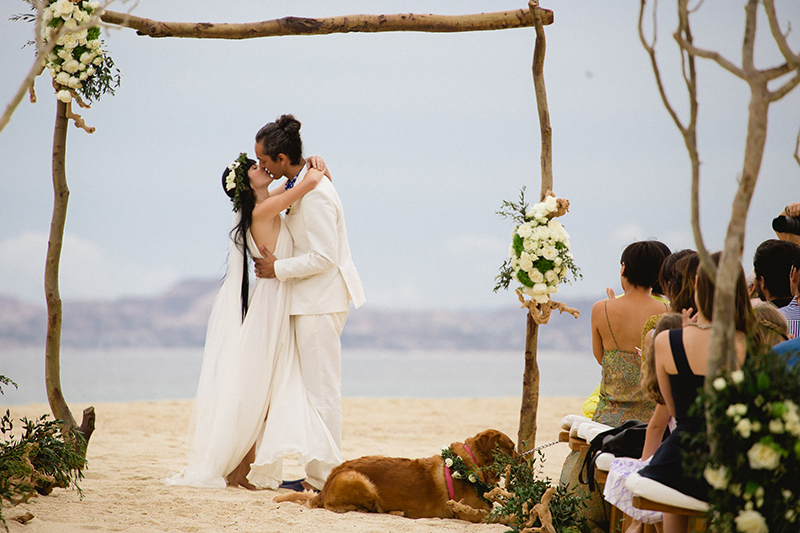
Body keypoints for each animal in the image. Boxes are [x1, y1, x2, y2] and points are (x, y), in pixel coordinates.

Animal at [272, 428, 516, 520]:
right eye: (511, 447)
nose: (523, 459)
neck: (470, 464)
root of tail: (324, 487)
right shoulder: (467, 511)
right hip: (358, 479)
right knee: (362, 508)